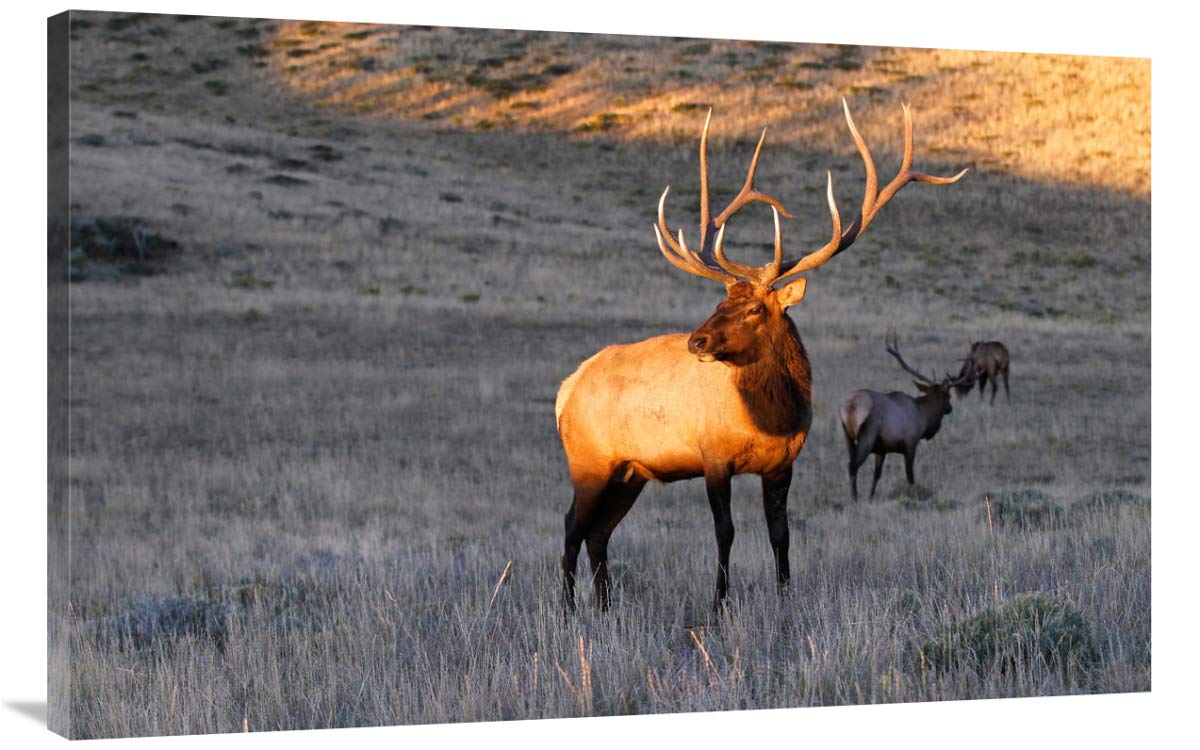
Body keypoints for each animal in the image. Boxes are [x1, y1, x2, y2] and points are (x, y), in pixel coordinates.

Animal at [840, 327, 975, 502]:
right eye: (949, 396)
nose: (950, 408)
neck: (923, 417)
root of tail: (851, 406)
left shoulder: (882, 449)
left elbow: (877, 475)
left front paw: (870, 498)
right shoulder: (910, 443)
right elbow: (910, 476)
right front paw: (913, 495)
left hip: (847, 436)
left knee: (850, 463)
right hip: (866, 436)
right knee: (853, 466)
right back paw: (854, 498)